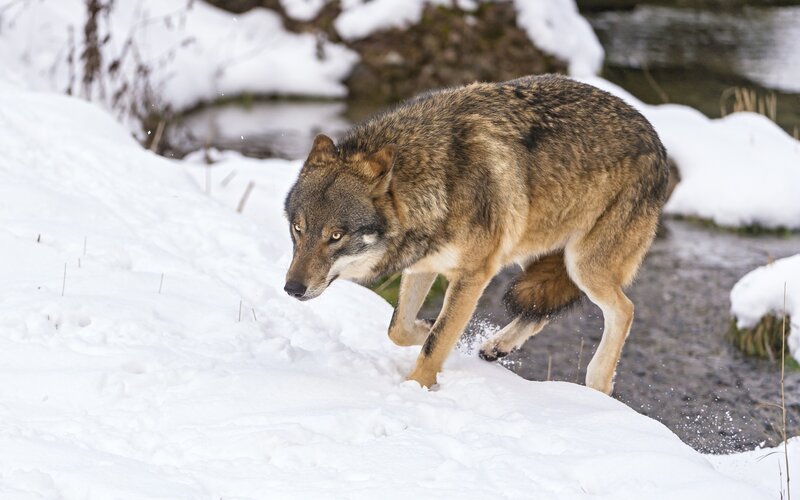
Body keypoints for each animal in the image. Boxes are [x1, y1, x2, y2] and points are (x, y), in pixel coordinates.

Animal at [283, 74, 669, 394]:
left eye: (336, 236)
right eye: (298, 229)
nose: (292, 288)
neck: (438, 179)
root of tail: (656, 138)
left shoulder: (473, 274)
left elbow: (435, 343)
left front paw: (414, 389)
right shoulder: (424, 264)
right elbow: (399, 329)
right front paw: (428, 327)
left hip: (583, 266)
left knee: (624, 310)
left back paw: (598, 384)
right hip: (532, 250)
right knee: (541, 307)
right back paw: (498, 345)